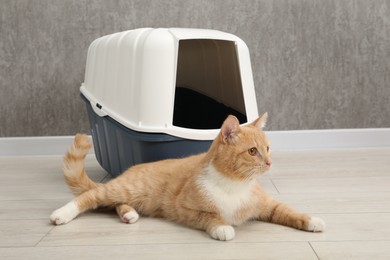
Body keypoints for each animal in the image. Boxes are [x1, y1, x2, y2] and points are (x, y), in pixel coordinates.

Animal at [50, 112, 324, 241]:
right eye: (252, 151)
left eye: (268, 148)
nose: (269, 162)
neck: (234, 185)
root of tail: (131, 169)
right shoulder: (185, 208)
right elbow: (211, 216)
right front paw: (222, 228)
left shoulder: (267, 205)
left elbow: (288, 211)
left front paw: (311, 220)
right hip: (124, 188)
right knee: (92, 195)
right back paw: (61, 214)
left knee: (114, 204)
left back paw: (129, 214)